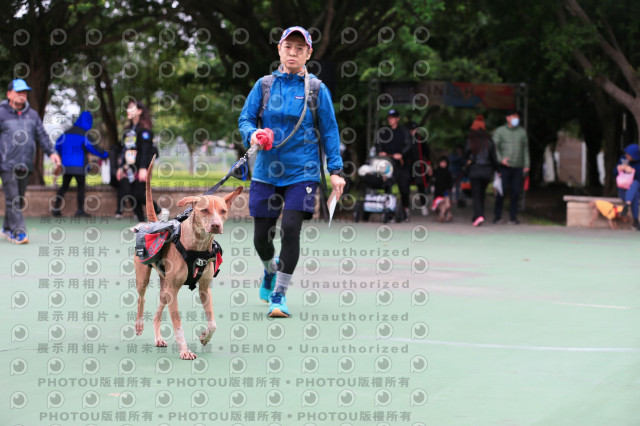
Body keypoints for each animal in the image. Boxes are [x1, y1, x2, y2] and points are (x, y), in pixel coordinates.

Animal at [134, 156, 243, 360]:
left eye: (223, 211)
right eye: (204, 210)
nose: (216, 225)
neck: (197, 246)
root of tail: (153, 222)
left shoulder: (204, 288)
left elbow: (213, 323)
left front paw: (204, 337)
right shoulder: (173, 291)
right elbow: (178, 325)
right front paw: (185, 350)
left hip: (164, 288)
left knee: (157, 313)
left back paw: (158, 338)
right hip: (144, 278)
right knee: (141, 299)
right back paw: (138, 324)